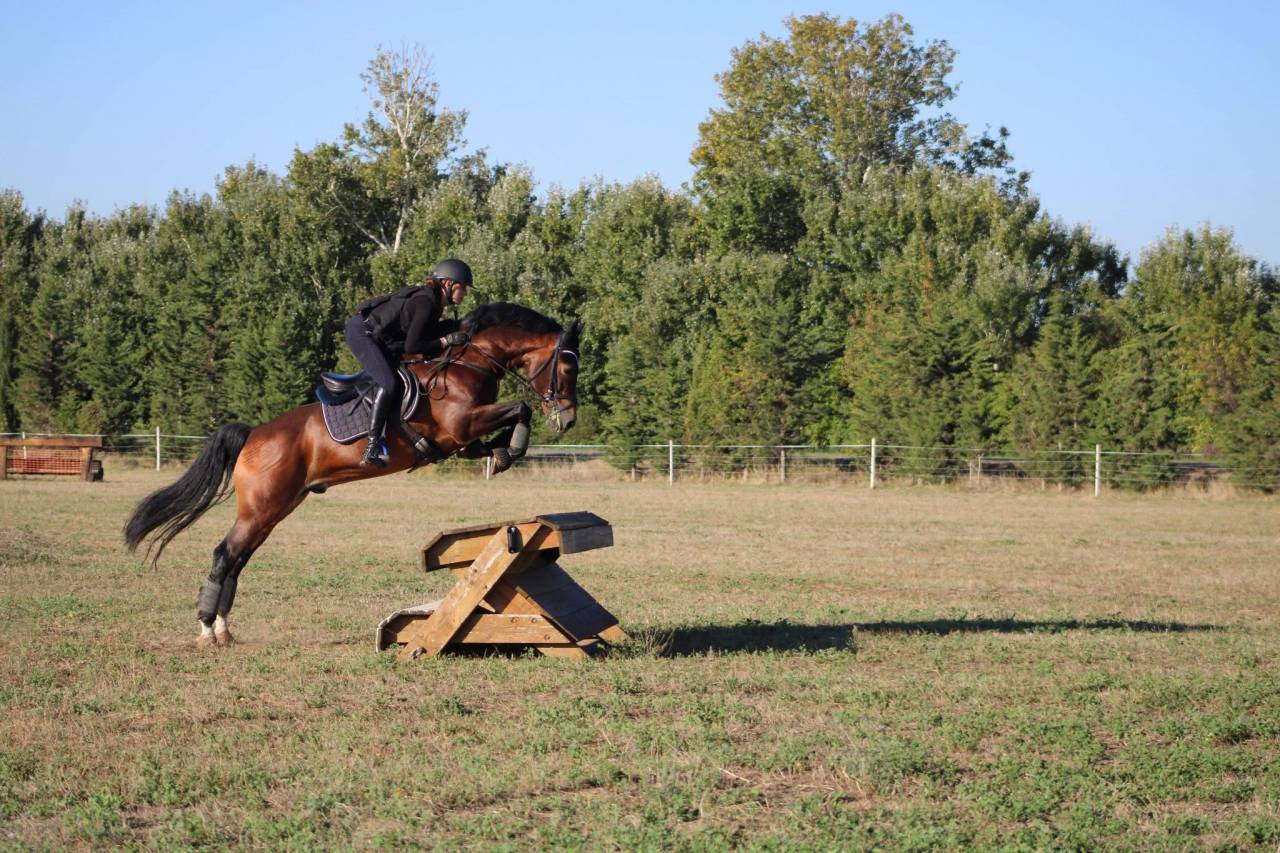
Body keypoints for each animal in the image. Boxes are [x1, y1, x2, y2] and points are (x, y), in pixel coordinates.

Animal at [124, 302, 582, 648]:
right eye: (566, 369)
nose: (568, 420)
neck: (469, 365)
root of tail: (254, 434)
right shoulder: (462, 425)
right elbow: (520, 408)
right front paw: (513, 448)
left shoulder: (462, 441)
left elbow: (503, 428)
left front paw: (504, 452)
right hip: (262, 507)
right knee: (225, 554)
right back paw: (208, 630)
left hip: (274, 509)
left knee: (238, 558)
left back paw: (223, 629)